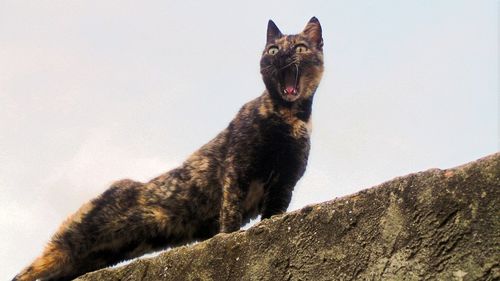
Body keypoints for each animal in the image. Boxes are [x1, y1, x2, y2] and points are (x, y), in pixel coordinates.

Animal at [13, 17, 324, 280]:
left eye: (299, 47)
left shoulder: (284, 185)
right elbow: (231, 214)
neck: (288, 117)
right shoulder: (237, 170)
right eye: (272, 49)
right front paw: (228, 239)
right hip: (67, 246)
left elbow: (273, 214)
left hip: (89, 257)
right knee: (26, 271)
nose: (281, 57)